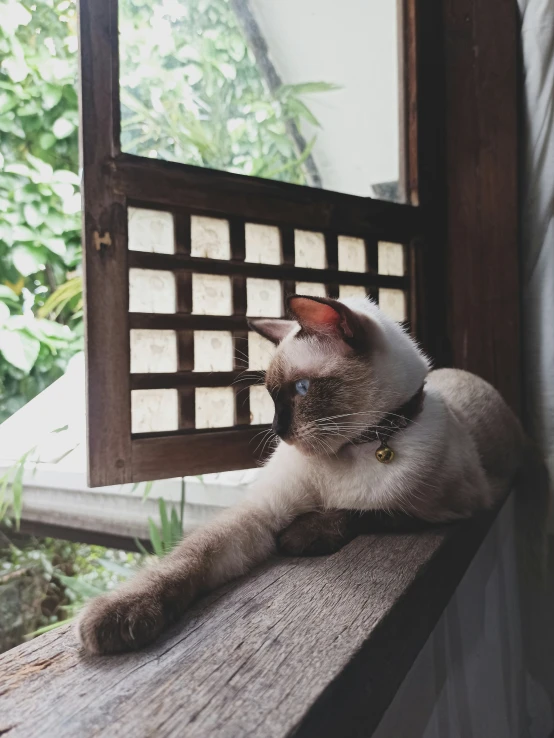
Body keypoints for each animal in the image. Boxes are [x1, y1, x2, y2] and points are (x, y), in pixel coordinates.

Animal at [77, 294, 528, 648]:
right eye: (270, 396)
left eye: (301, 390)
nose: (277, 430)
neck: (353, 449)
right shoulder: (261, 514)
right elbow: (190, 556)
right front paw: (119, 615)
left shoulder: (444, 509)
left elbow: (358, 512)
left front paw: (299, 536)